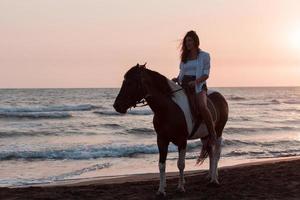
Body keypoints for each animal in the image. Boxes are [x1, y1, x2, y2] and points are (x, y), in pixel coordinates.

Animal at [113, 63, 229, 197]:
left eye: (130, 83)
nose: (116, 106)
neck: (168, 108)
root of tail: (220, 97)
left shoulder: (182, 140)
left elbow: (181, 164)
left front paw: (180, 188)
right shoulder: (161, 140)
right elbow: (161, 165)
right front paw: (161, 190)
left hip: (218, 132)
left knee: (216, 154)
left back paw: (214, 180)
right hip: (205, 135)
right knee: (210, 153)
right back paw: (210, 177)